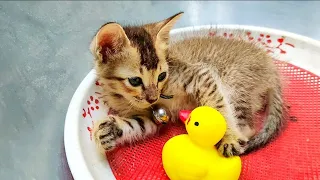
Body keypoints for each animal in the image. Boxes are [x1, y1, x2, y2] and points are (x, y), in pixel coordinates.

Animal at [89, 11, 284, 157]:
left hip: (236, 83)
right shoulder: (153, 115)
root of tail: (271, 69)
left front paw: (228, 137)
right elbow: (138, 124)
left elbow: (219, 109)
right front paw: (110, 131)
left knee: (247, 127)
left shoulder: (201, 75)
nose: (153, 98)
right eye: (135, 80)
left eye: (162, 76)